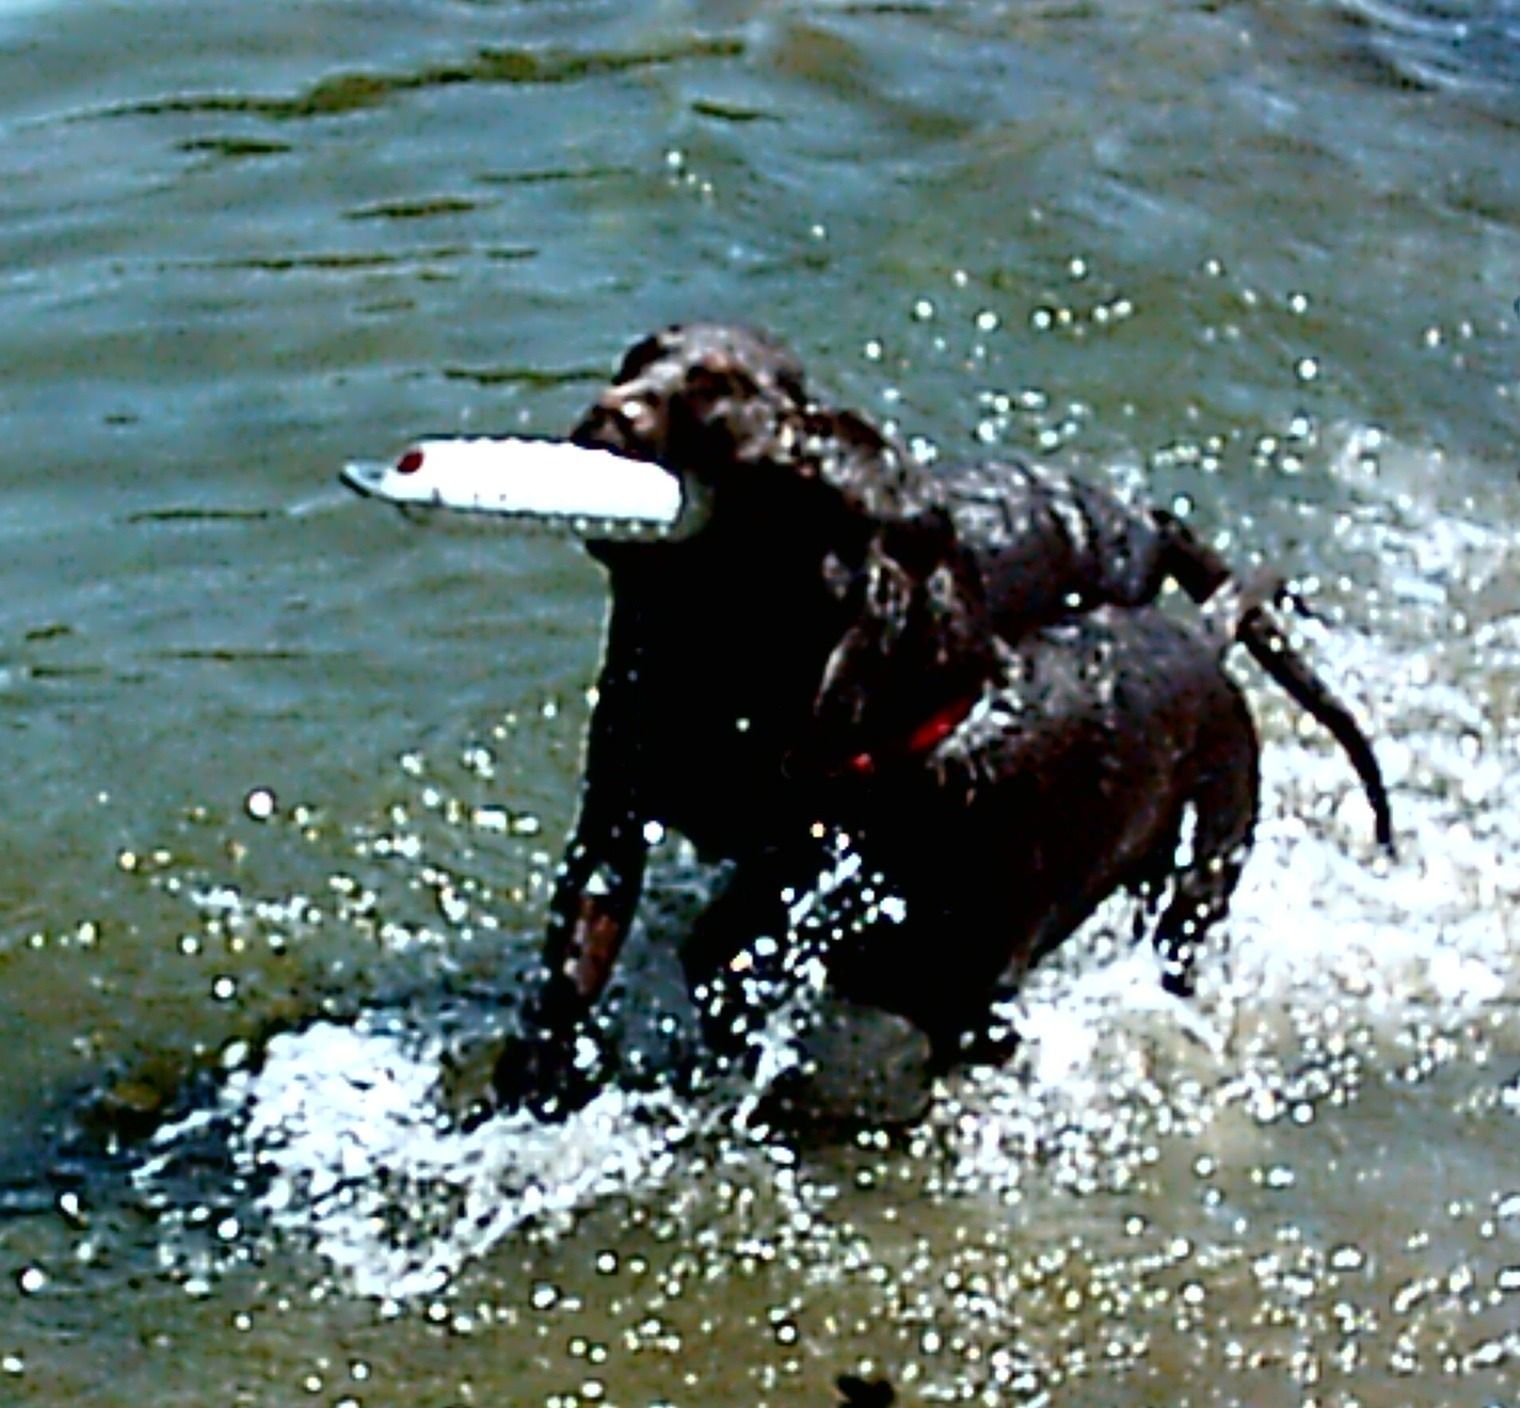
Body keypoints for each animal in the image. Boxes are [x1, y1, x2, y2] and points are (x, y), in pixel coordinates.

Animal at [480, 323, 1390, 1113]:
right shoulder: (622, 817)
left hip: (1187, 873)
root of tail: (1141, 522)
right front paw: (533, 1080)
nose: (612, 415)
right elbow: (578, 959)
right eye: (640, 361)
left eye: (723, 395)